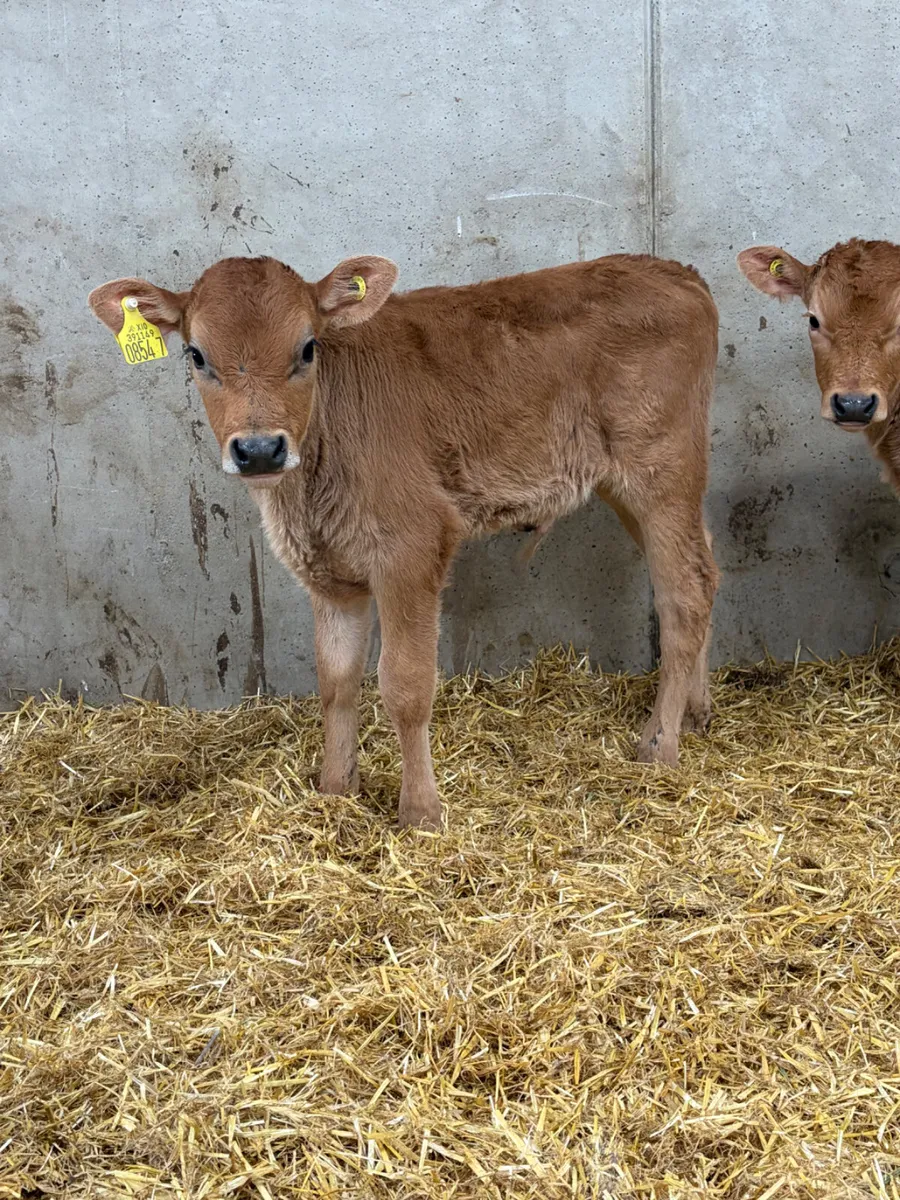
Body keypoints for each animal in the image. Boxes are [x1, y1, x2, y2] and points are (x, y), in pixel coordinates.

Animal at [89, 253, 720, 830]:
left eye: (308, 348)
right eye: (197, 355)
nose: (260, 449)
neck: (308, 496)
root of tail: (678, 271)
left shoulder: (413, 546)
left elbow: (406, 685)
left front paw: (420, 811)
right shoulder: (329, 572)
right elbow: (336, 680)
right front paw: (334, 790)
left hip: (662, 470)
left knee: (683, 597)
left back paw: (659, 744)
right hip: (627, 486)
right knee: (705, 569)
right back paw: (695, 712)